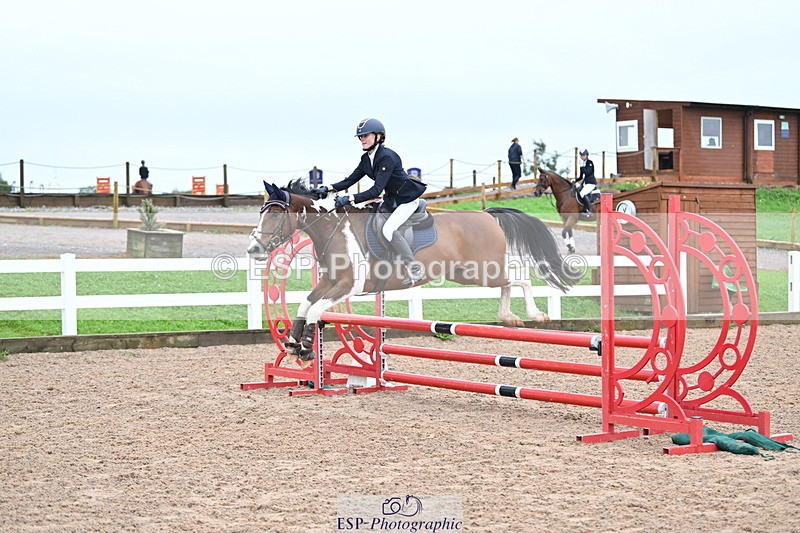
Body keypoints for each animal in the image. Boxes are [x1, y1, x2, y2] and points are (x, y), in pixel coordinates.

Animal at [247, 179, 577, 361]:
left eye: (275, 216)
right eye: (262, 213)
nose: (253, 249)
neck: (333, 229)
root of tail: (486, 214)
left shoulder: (348, 286)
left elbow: (315, 310)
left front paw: (304, 347)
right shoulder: (330, 282)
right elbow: (305, 304)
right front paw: (294, 343)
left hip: (482, 268)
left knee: (520, 277)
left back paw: (535, 314)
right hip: (468, 273)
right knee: (507, 282)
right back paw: (508, 317)